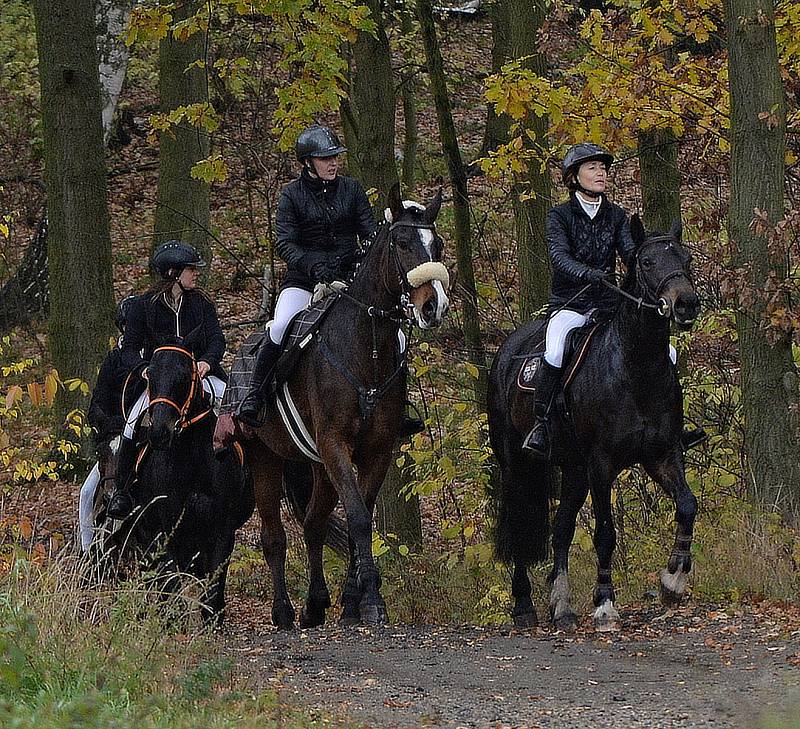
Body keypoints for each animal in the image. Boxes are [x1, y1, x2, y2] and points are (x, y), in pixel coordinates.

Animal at [112, 336, 253, 624]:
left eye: (185, 376)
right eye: (151, 375)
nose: (159, 434)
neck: (193, 461)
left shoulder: (223, 528)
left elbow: (215, 582)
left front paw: (213, 620)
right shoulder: (165, 530)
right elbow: (170, 582)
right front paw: (171, 621)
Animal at [247, 182, 450, 624]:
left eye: (438, 245)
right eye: (403, 243)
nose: (433, 307)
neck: (365, 348)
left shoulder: (376, 449)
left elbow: (364, 516)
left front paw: (355, 599)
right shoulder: (335, 443)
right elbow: (356, 515)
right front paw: (371, 599)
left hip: (316, 466)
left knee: (313, 524)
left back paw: (315, 604)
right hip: (264, 458)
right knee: (273, 536)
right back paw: (283, 612)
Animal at [488, 216, 700, 632]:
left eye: (685, 258)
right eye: (647, 262)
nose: (686, 304)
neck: (636, 369)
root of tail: (506, 350)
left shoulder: (663, 455)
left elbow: (686, 505)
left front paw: (672, 581)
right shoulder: (602, 465)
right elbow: (605, 533)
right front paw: (604, 604)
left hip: (573, 470)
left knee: (560, 531)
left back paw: (562, 607)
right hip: (517, 464)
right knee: (521, 524)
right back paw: (524, 606)